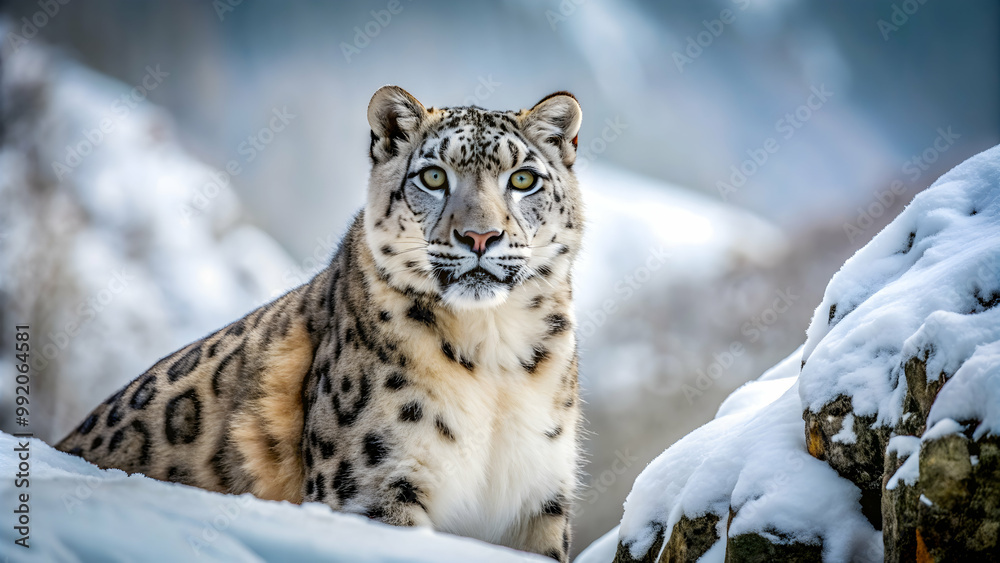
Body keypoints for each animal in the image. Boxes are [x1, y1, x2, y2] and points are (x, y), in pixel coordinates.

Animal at [56, 85, 585, 561]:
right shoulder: (375, 485)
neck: (495, 356)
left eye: (523, 179)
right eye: (434, 176)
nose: (480, 236)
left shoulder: (540, 497)